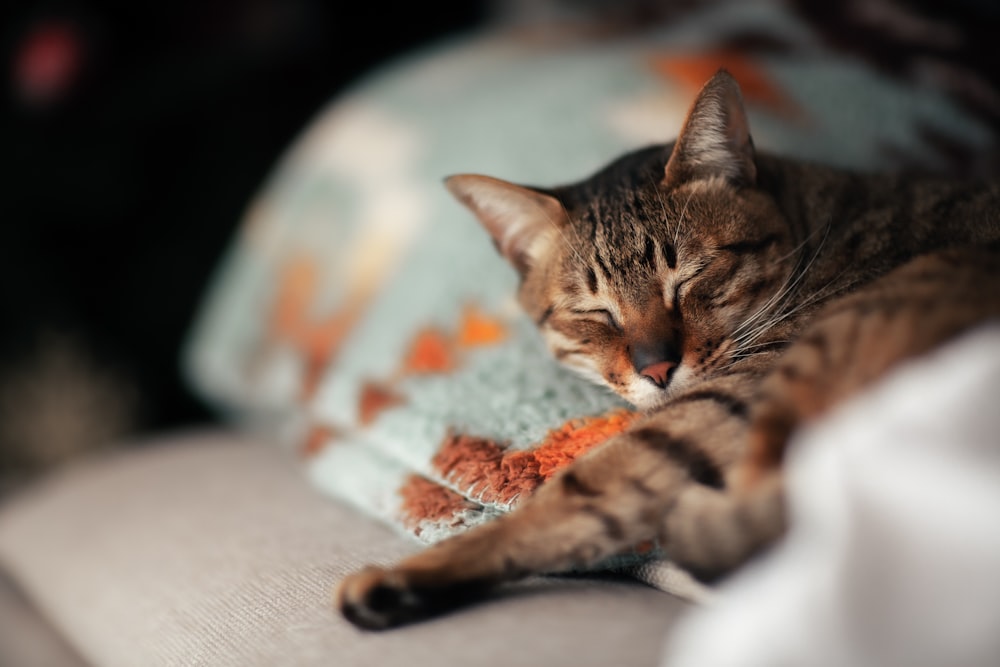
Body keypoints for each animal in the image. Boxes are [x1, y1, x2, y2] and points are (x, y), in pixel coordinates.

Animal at [336, 70, 1000, 628]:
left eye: (689, 279)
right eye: (596, 312)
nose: (656, 368)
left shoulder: (724, 397)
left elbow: (571, 500)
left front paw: (410, 574)